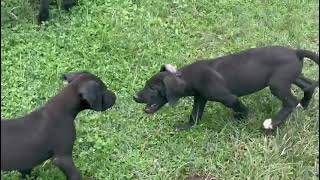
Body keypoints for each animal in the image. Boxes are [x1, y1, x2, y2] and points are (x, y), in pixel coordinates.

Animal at [133, 46, 318, 131]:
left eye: (151, 89)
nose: (134, 97)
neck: (186, 78)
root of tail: (296, 52)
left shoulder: (229, 98)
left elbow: (242, 109)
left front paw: (241, 120)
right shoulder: (200, 98)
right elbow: (195, 116)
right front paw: (186, 128)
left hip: (277, 84)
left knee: (290, 102)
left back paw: (272, 123)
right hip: (290, 77)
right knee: (310, 85)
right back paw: (304, 104)